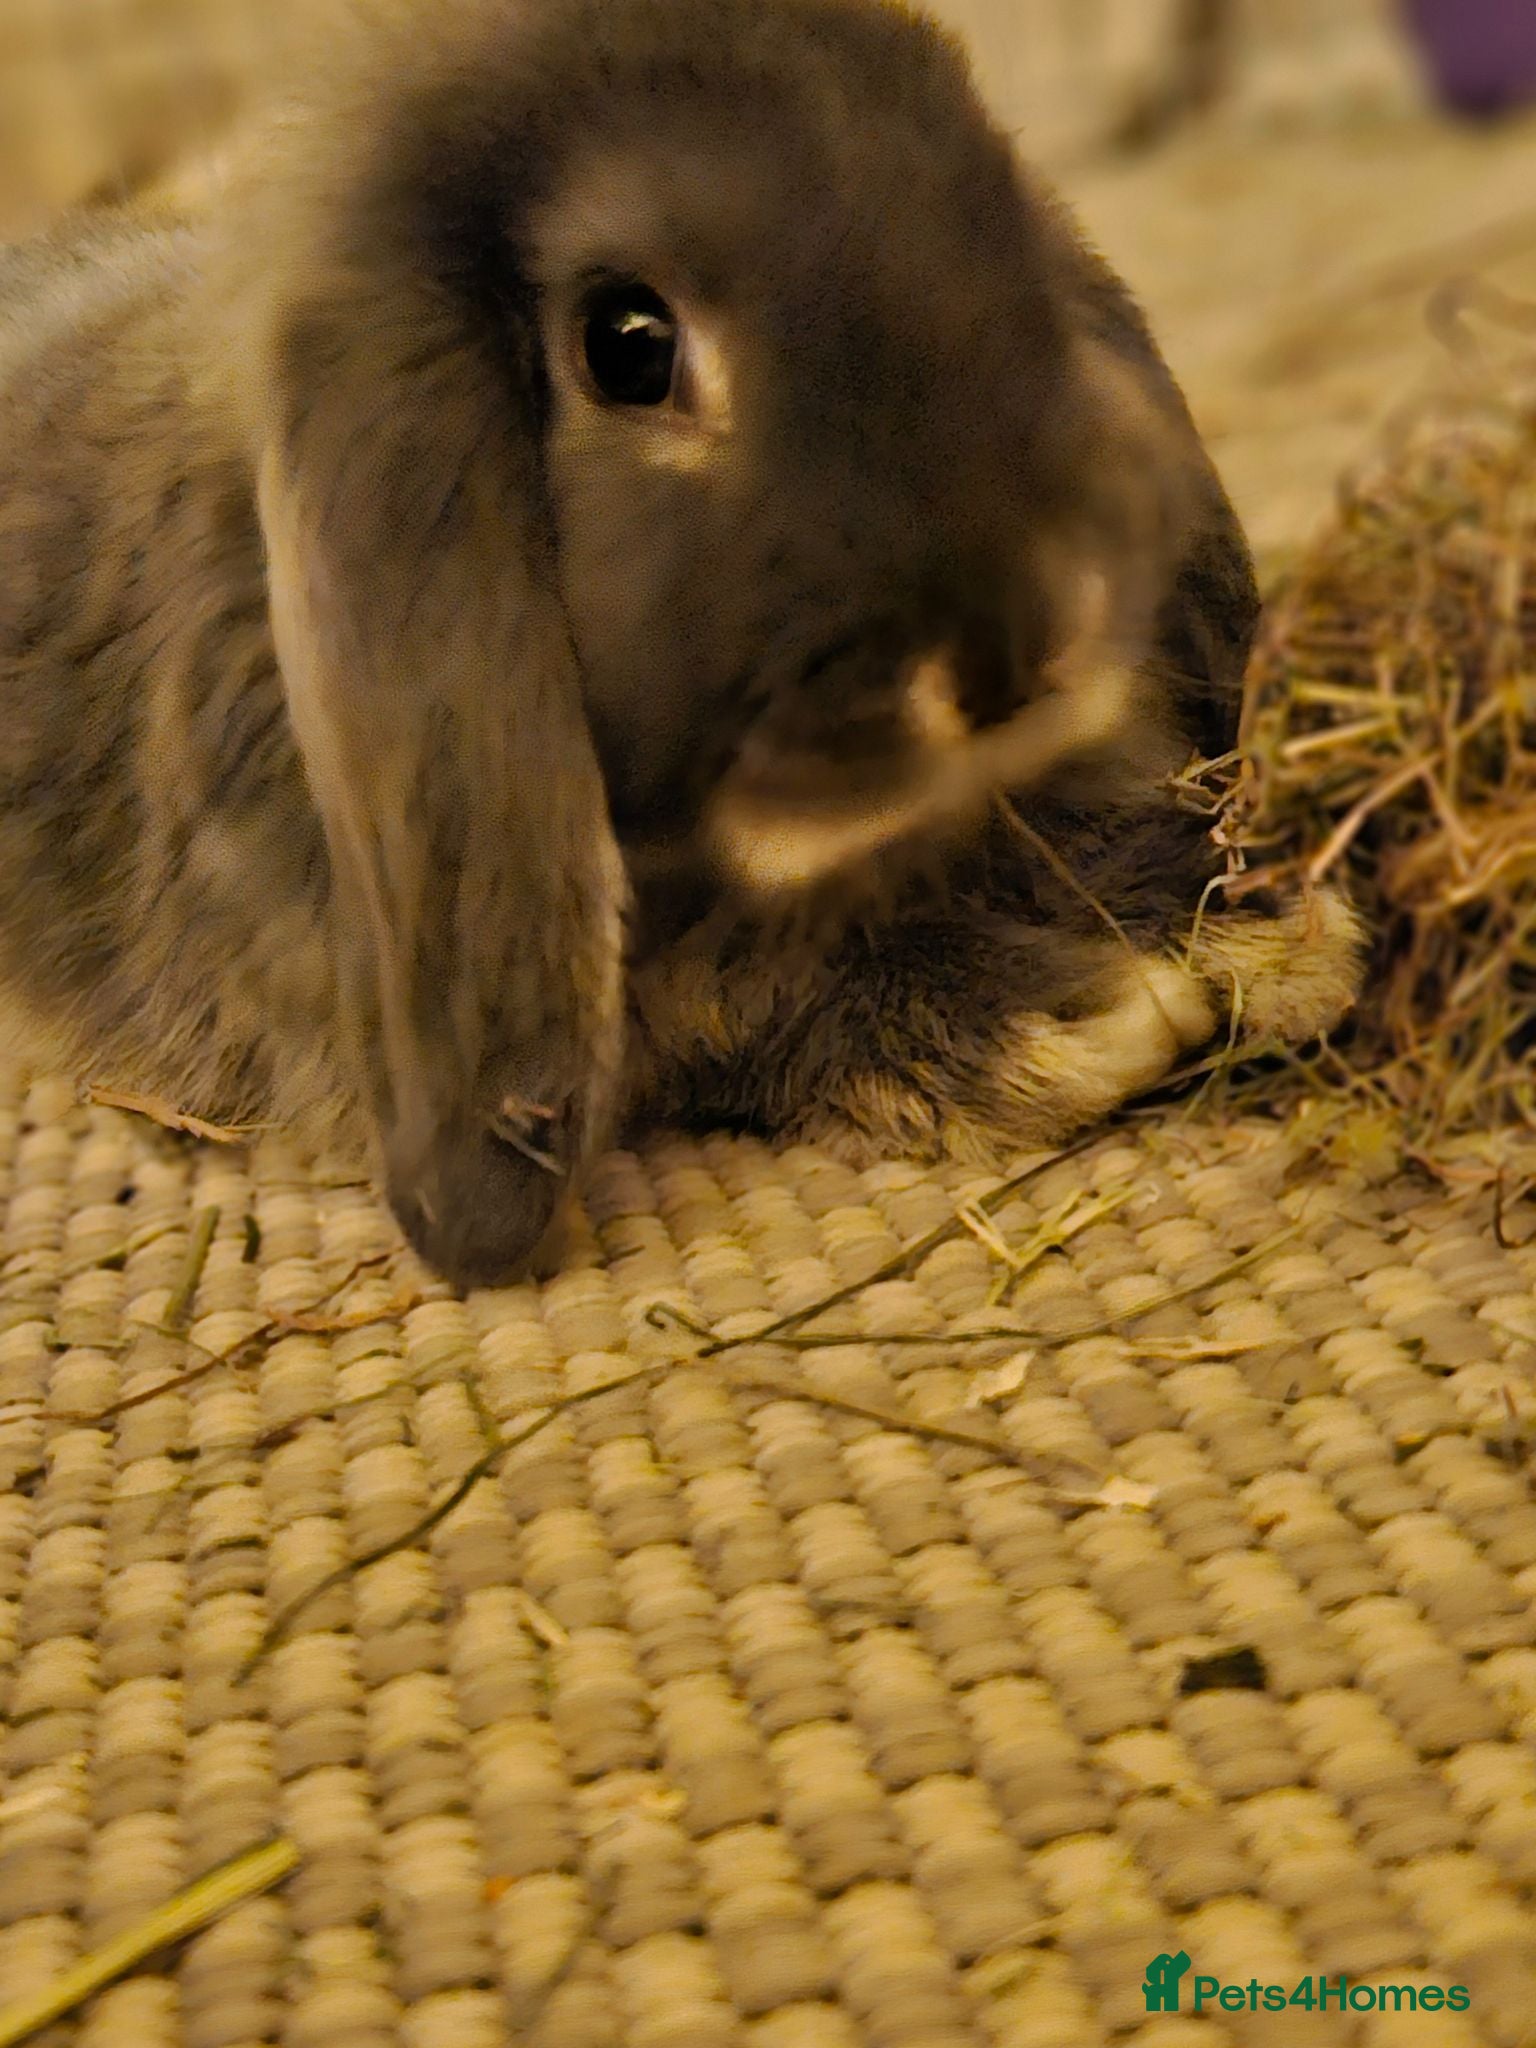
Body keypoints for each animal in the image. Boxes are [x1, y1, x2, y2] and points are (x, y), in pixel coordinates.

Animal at [0, 0, 1361, 1293]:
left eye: (1002, 222)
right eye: (629, 345)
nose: (1018, 648)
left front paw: (1251, 919)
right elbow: (730, 997)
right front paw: (1080, 1006)